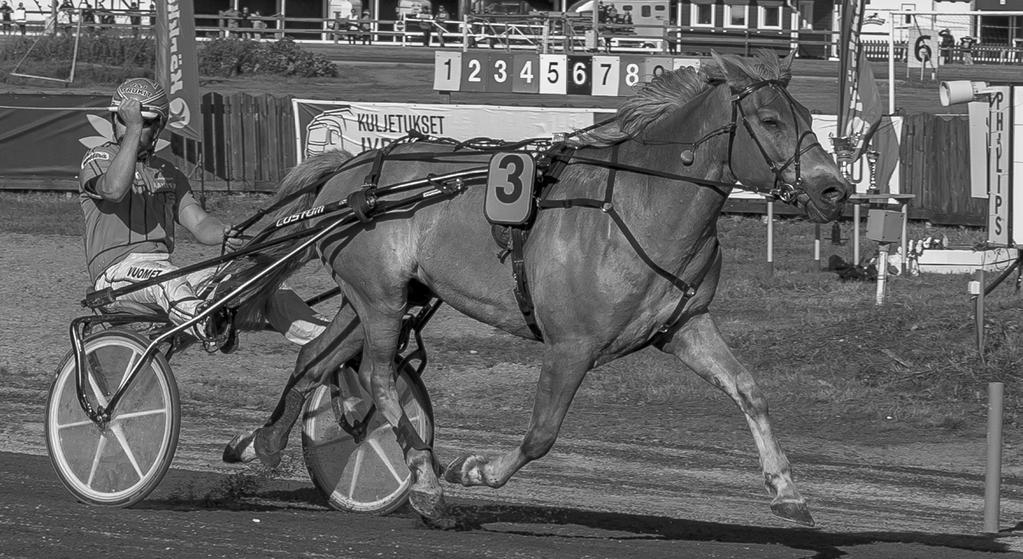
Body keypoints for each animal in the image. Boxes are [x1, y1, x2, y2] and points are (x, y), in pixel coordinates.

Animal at [221, 50, 847, 524]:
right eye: (769, 120)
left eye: (805, 114)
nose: (834, 190)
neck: (639, 207)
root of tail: (349, 172)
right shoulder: (571, 346)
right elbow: (543, 433)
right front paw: (472, 469)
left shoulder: (684, 327)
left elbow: (749, 390)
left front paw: (787, 490)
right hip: (379, 299)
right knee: (376, 377)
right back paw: (425, 484)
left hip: (380, 299)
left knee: (313, 361)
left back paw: (262, 445)